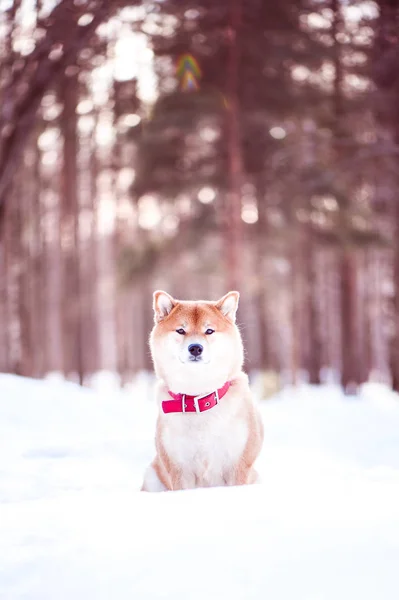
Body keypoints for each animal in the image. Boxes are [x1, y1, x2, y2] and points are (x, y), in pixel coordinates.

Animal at [142, 290, 264, 492]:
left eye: (209, 331)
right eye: (181, 330)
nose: (195, 348)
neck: (198, 398)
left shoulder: (238, 465)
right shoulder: (179, 469)